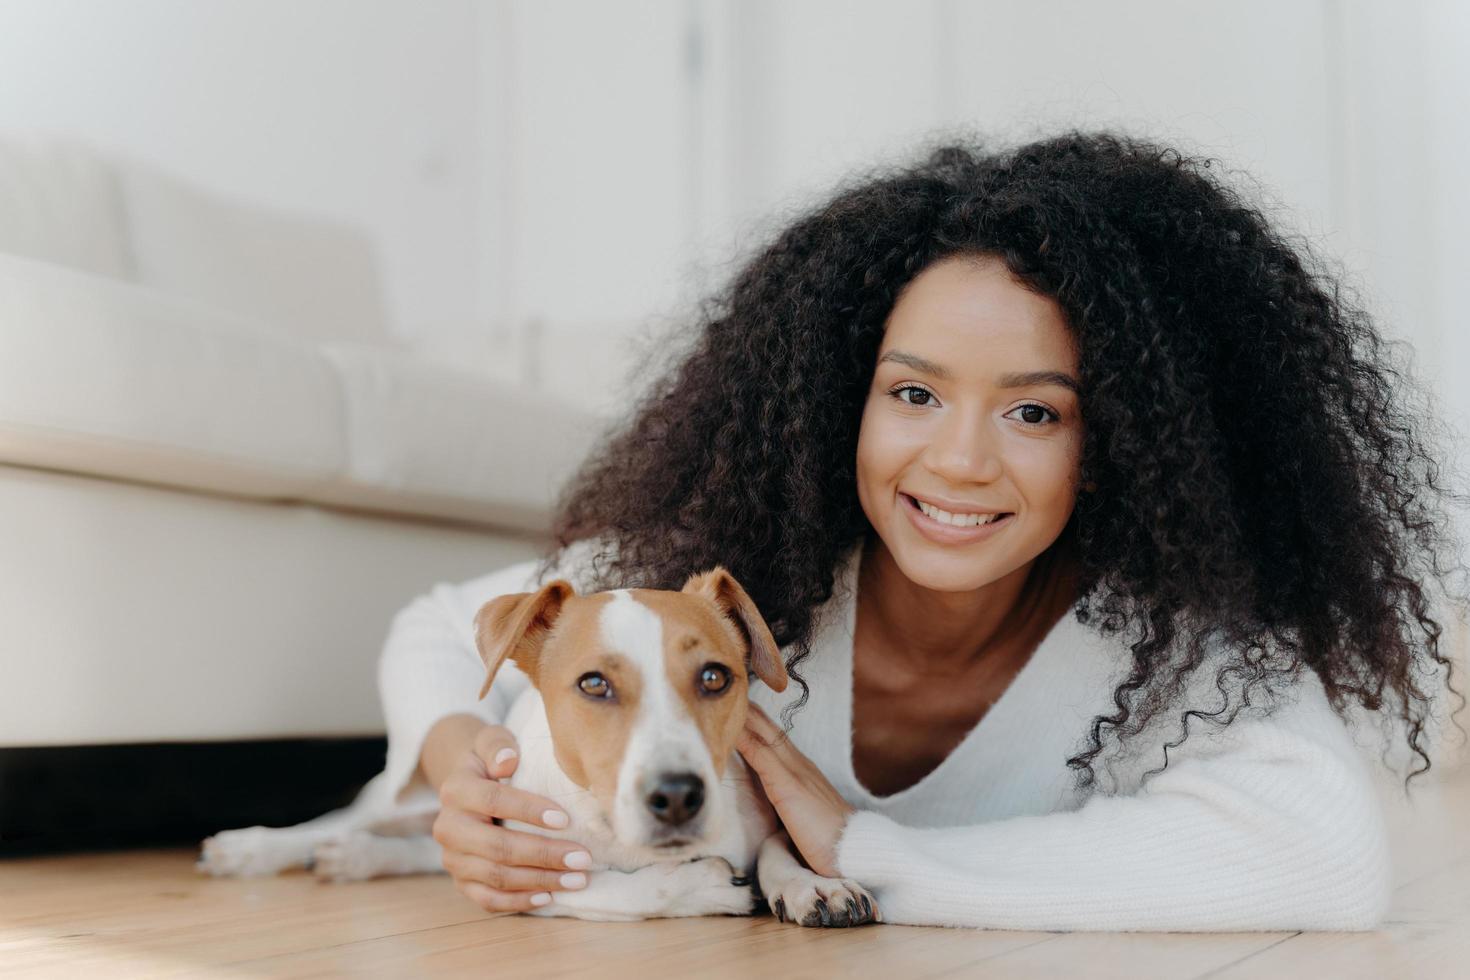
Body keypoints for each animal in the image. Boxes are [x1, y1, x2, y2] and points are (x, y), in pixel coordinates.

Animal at [199, 567, 876, 928]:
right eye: (594, 684)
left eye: (715, 676)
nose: (679, 796)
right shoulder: (530, 874)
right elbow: (627, 889)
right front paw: (703, 886)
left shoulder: (763, 813)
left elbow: (779, 850)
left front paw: (812, 885)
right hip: (400, 799)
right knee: (340, 821)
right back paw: (254, 848)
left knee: (421, 849)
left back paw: (362, 858)